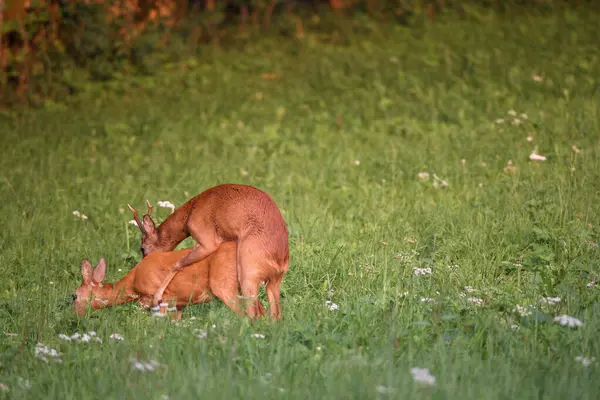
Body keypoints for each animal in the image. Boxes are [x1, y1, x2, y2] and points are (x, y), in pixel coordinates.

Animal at [71, 241, 239, 318]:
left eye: (74, 296)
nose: (73, 314)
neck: (132, 283)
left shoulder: (162, 296)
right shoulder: (179, 304)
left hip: (224, 283)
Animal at [127, 184, 290, 318]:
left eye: (142, 248)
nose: (144, 262)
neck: (190, 213)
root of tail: (280, 261)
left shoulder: (207, 240)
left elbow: (178, 264)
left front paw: (157, 298)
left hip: (248, 270)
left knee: (252, 313)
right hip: (274, 281)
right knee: (275, 315)